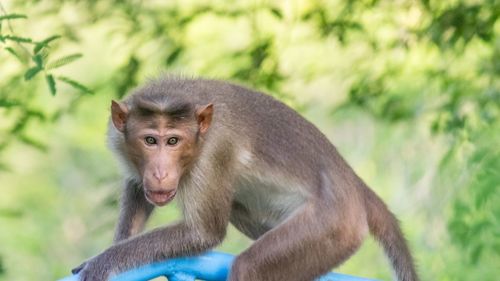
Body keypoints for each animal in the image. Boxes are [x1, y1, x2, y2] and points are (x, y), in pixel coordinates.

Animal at [72, 76, 420, 280]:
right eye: (149, 140)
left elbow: (203, 232)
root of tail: (354, 184)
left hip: (333, 225)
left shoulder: (215, 150)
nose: (160, 172)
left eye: (172, 141)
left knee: (250, 267)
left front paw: (104, 261)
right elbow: (137, 191)